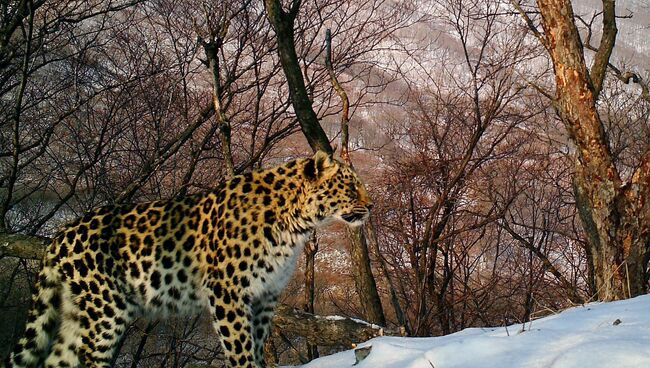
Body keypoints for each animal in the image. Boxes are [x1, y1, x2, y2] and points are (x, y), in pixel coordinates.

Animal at [3, 150, 370, 368]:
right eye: (351, 188)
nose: (371, 206)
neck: (296, 224)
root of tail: (59, 235)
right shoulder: (227, 291)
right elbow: (240, 347)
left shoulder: (266, 296)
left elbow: (256, 344)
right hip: (106, 311)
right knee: (90, 355)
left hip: (75, 312)